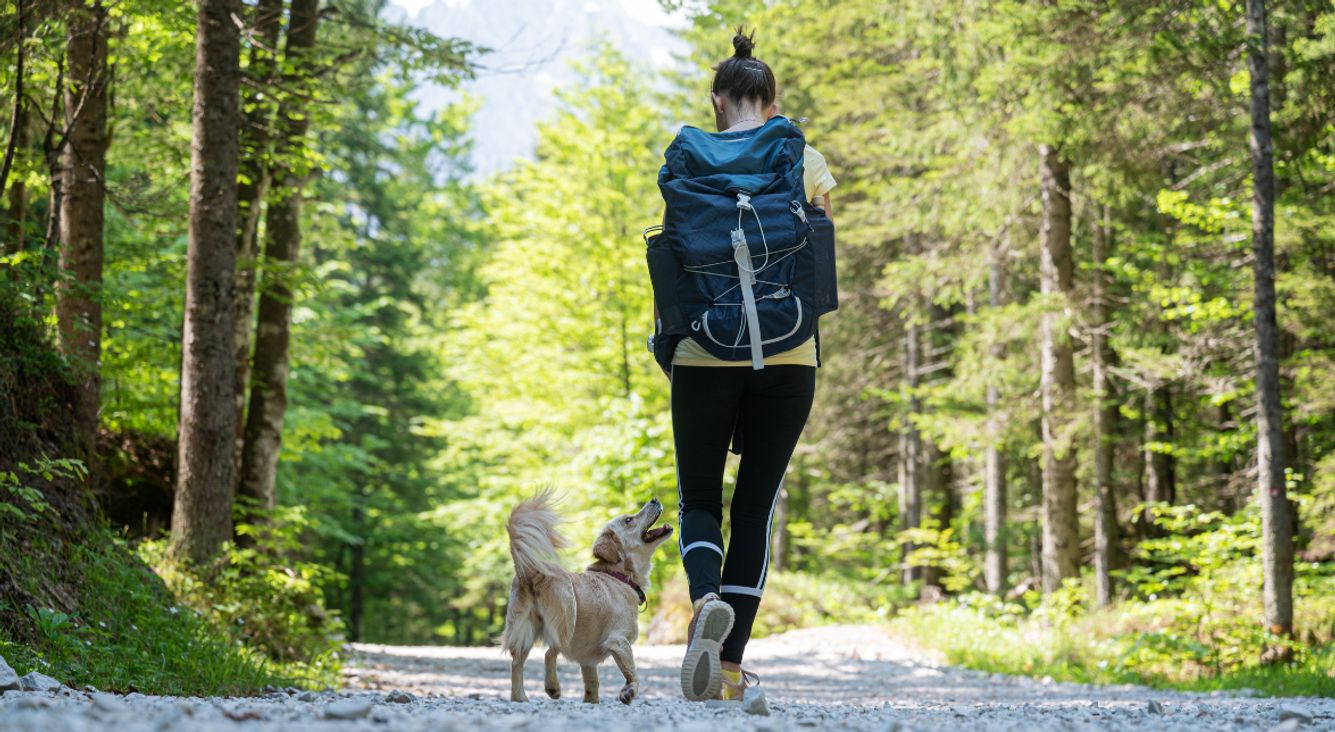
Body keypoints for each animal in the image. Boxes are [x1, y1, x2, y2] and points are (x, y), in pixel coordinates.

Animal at [499, 491, 672, 705]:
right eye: (628, 520)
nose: (654, 499)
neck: (619, 576)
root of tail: (530, 571)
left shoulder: (588, 661)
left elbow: (592, 685)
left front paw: (592, 701)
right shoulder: (619, 641)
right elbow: (633, 673)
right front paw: (628, 692)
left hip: (523, 630)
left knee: (517, 663)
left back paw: (520, 697)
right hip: (567, 618)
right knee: (550, 652)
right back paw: (553, 687)